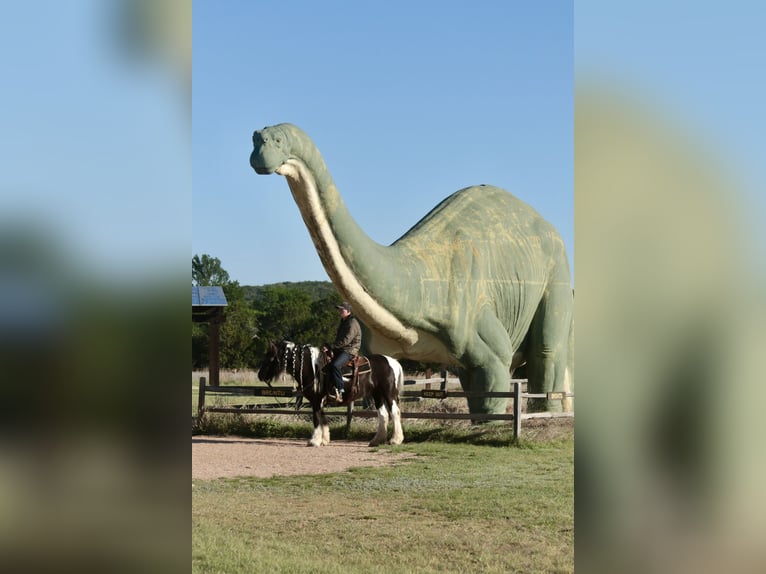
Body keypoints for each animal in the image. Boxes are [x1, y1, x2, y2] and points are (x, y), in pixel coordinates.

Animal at [257, 340, 405, 447]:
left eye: (270, 358)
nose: (260, 375)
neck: (313, 368)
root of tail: (393, 362)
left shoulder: (316, 400)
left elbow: (316, 419)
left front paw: (314, 441)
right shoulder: (319, 400)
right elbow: (322, 418)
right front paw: (324, 439)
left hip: (388, 393)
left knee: (394, 413)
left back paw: (395, 440)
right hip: (377, 395)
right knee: (383, 415)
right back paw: (376, 441)